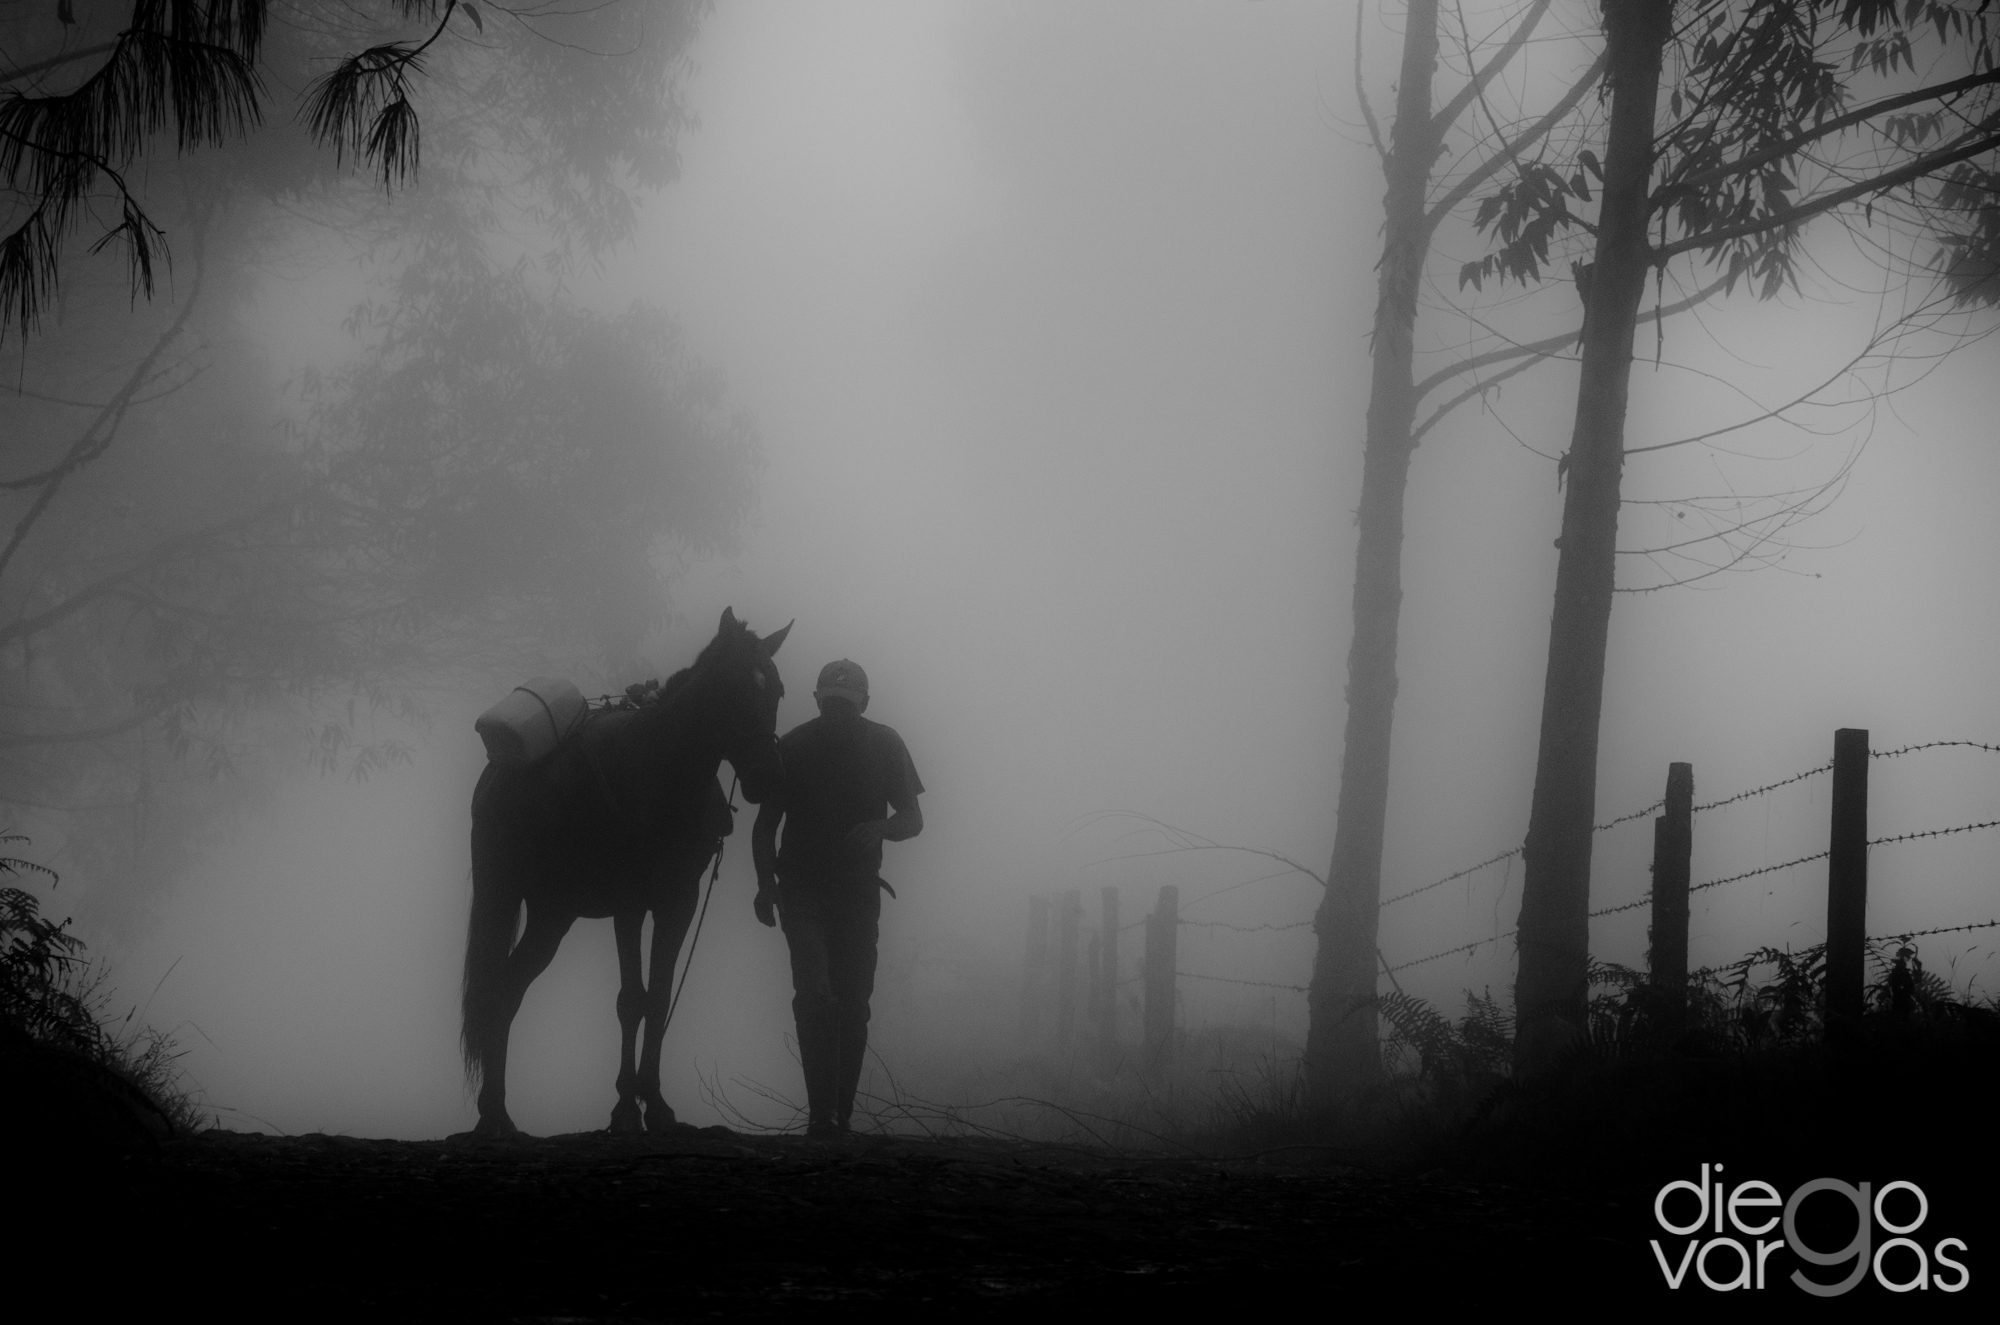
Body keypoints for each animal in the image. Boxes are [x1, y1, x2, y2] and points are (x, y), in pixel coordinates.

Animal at [460, 612, 788, 1144]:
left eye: (777, 690)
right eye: (731, 687)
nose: (769, 777)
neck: (665, 774)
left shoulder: (679, 900)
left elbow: (658, 999)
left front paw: (656, 1105)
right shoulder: (630, 904)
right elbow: (631, 1000)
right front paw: (625, 1110)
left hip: (553, 915)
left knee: (508, 989)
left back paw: (499, 1114)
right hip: (503, 894)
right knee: (495, 990)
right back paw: (492, 1114)